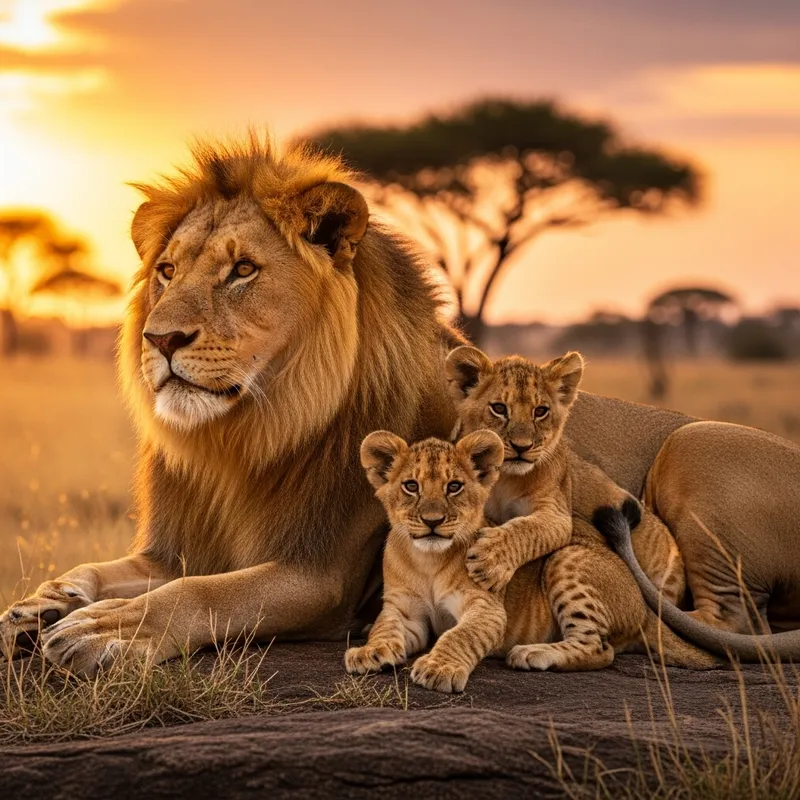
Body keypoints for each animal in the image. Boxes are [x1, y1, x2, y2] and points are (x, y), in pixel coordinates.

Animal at [2, 134, 799, 675]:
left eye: (242, 271)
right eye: (166, 271)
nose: (160, 339)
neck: (242, 435)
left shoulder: (318, 578)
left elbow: (200, 595)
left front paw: (105, 630)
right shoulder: (169, 547)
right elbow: (101, 570)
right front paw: (42, 605)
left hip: (696, 446)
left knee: (730, 618)